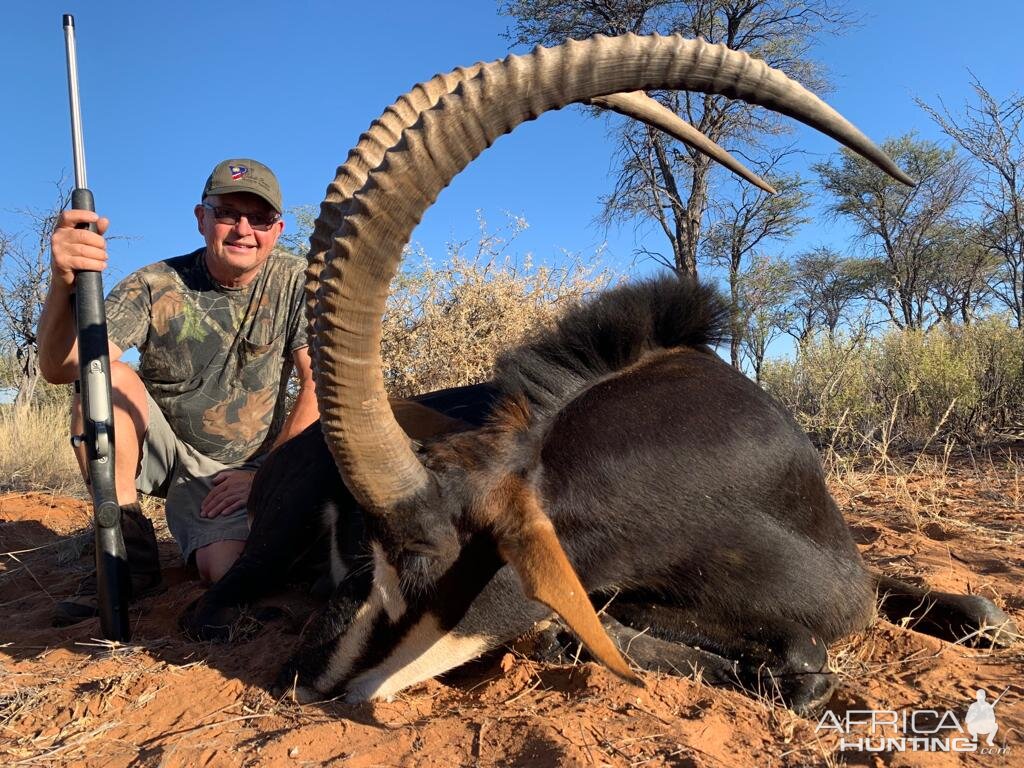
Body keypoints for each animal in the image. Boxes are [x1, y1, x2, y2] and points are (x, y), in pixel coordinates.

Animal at [184, 33, 1015, 712]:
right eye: (359, 548)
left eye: (420, 560)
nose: (303, 677)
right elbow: (796, 660)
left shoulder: (857, 577)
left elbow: (981, 615)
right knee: (208, 602)